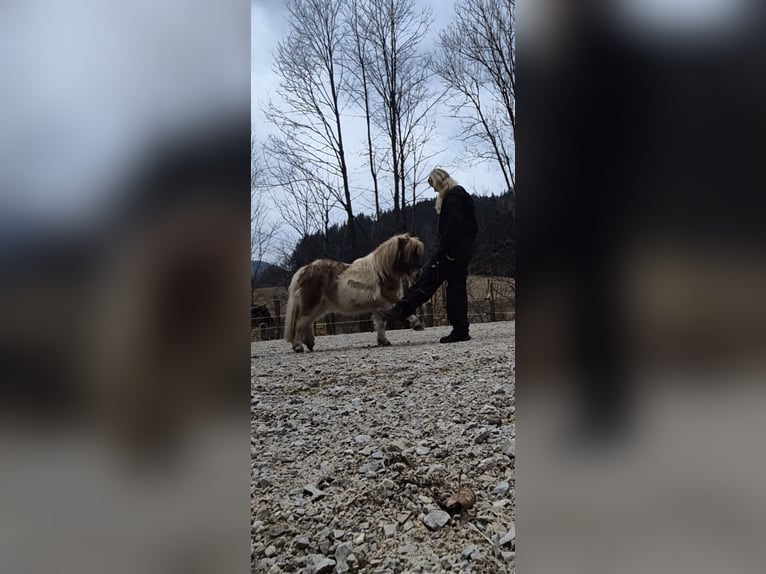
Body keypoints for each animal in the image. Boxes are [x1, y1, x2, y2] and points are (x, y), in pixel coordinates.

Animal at [284, 233, 426, 352]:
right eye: (411, 253)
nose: (418, 274)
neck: (381, 271)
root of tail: (304, 271)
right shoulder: (388, 298)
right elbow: (403, 306)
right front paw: (417, 324)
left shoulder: (378, 305)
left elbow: (380, 323)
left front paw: (383, 341)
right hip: (312, 304)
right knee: (300, 322)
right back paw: (298, 346)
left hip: (319, 307)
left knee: (307, 322)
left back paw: (309, 343)